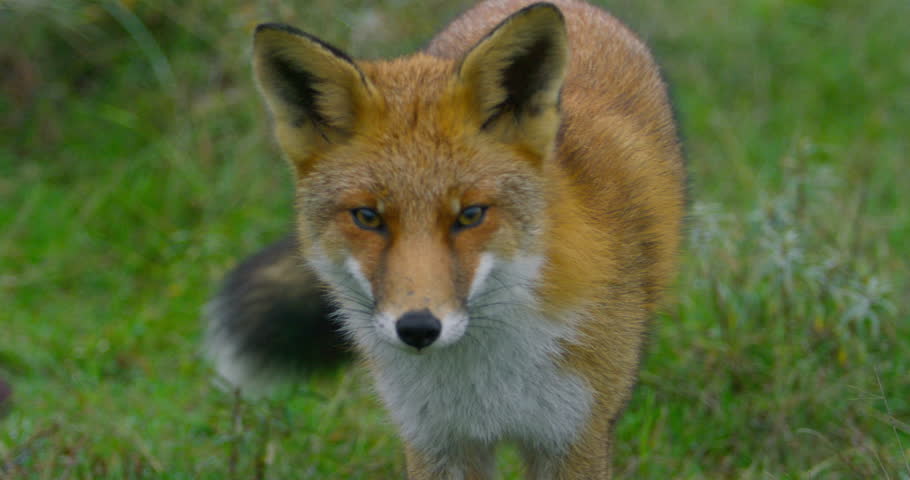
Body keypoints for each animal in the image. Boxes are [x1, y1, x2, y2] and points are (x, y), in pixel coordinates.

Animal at [205, 0, 686, 478]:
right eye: (368, 217)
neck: (483, 377)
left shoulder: (574, 437)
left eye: (470, 215)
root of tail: (575, 6)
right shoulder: (437, 441)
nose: (418, 328)